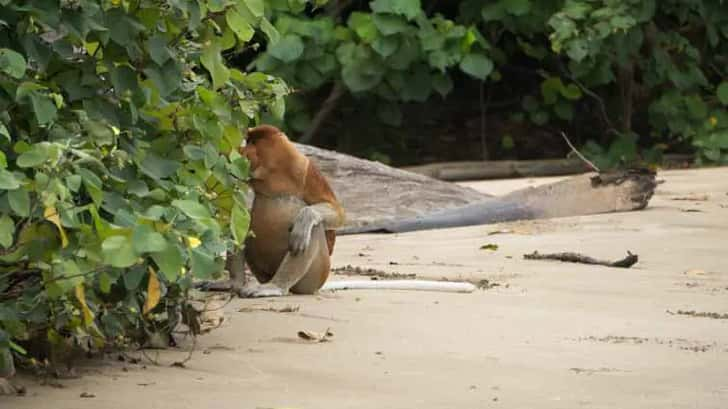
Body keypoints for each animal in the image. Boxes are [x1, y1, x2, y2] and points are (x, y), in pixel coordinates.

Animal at [235, 124, 478, 296]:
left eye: (252, 142)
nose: (240, 150)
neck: (275, 172)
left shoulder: (304, 169)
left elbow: (335, 211)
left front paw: (307, 218)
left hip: (316, 273)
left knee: (312, 231)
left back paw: (275, 286)